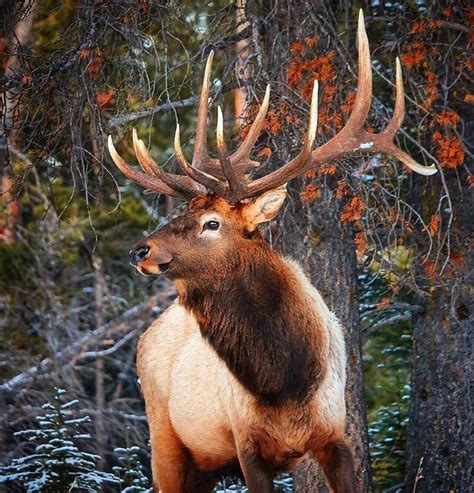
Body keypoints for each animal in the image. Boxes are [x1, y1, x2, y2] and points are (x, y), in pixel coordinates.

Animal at [108, 11, 436, 492]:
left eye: (211, 223)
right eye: (184, 211)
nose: (140, 250)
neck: (284, 382)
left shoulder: (335, 434)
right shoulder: (246, 444)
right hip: (165, 440)